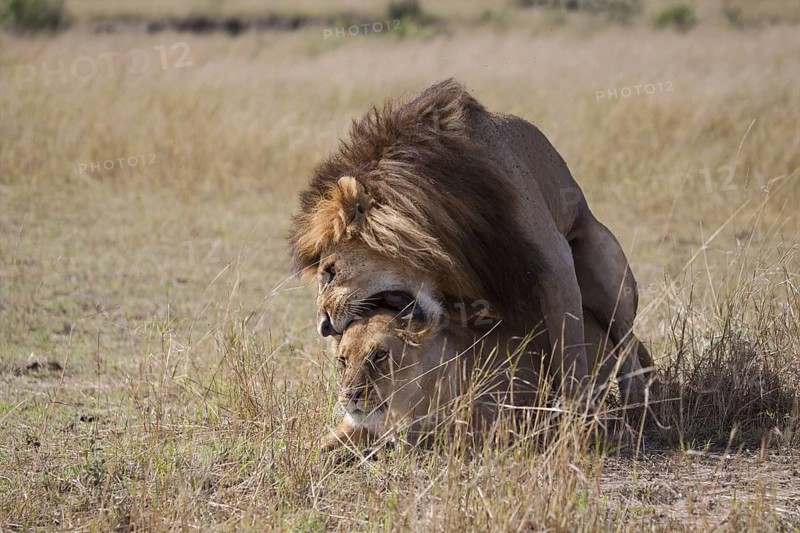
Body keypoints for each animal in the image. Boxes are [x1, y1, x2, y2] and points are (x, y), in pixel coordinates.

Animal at [288, 79, 654, 402]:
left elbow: (571, 350)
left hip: (605, 264)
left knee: (627, 343)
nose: (324, 326)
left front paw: (575, 414)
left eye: (330, 272)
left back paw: (637, 401)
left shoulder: (555, 264)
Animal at [320, 306, 641, 452]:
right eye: (343, 360)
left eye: (380, 356)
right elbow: (320, 444)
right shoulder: (354, 424)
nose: (350, 396)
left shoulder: (483, 422)